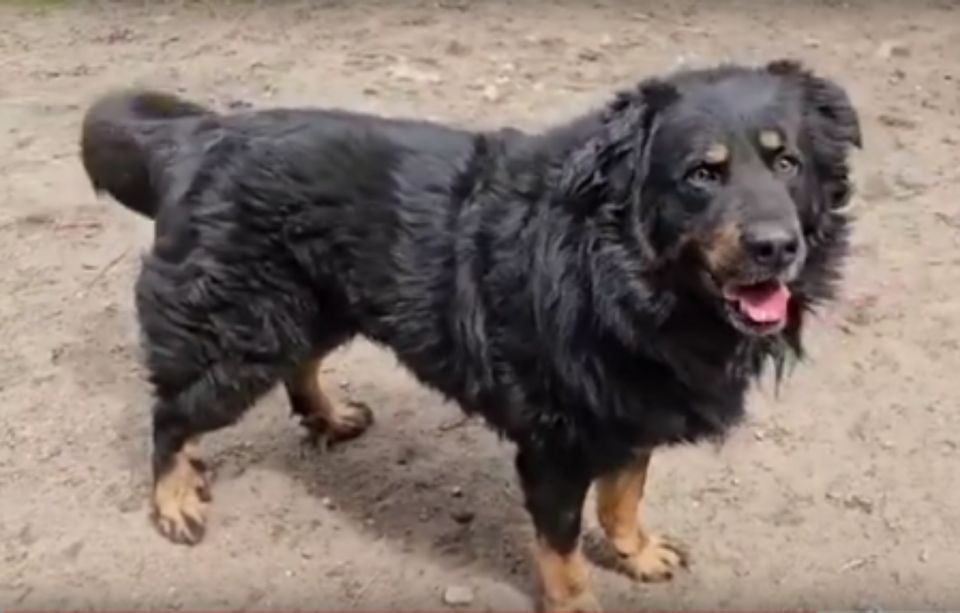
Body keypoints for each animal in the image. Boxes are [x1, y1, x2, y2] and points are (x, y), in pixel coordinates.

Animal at [82, 59, 860, 608]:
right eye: (703, 174)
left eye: (787, 162)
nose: (777, 247)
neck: (623, 276)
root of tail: (197, 133)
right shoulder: (556, 445)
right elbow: (563, 556)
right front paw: (581, 599)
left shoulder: (630, 408)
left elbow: (624, 496)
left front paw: (636, 552)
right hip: (241, 333)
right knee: (170, 413)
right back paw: (174, 497)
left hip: (315, 306)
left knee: (293, 368)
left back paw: (327, 416)